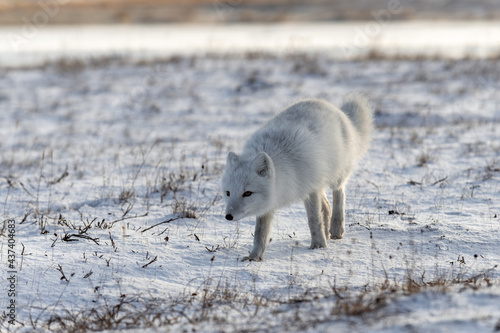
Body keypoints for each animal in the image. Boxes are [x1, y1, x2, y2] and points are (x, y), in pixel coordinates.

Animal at [222, 92, 372, 260]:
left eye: (247, 193)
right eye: (228, 193)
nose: (228, 216)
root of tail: (337, 110)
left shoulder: (310, 189)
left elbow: (314, 220)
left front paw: (318, 245)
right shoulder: (269, 203)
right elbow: (260, 233)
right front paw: (254, 257)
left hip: (334, 176)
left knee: (339, 193)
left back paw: (336, 228)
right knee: (326, 207)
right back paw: (327, 233)